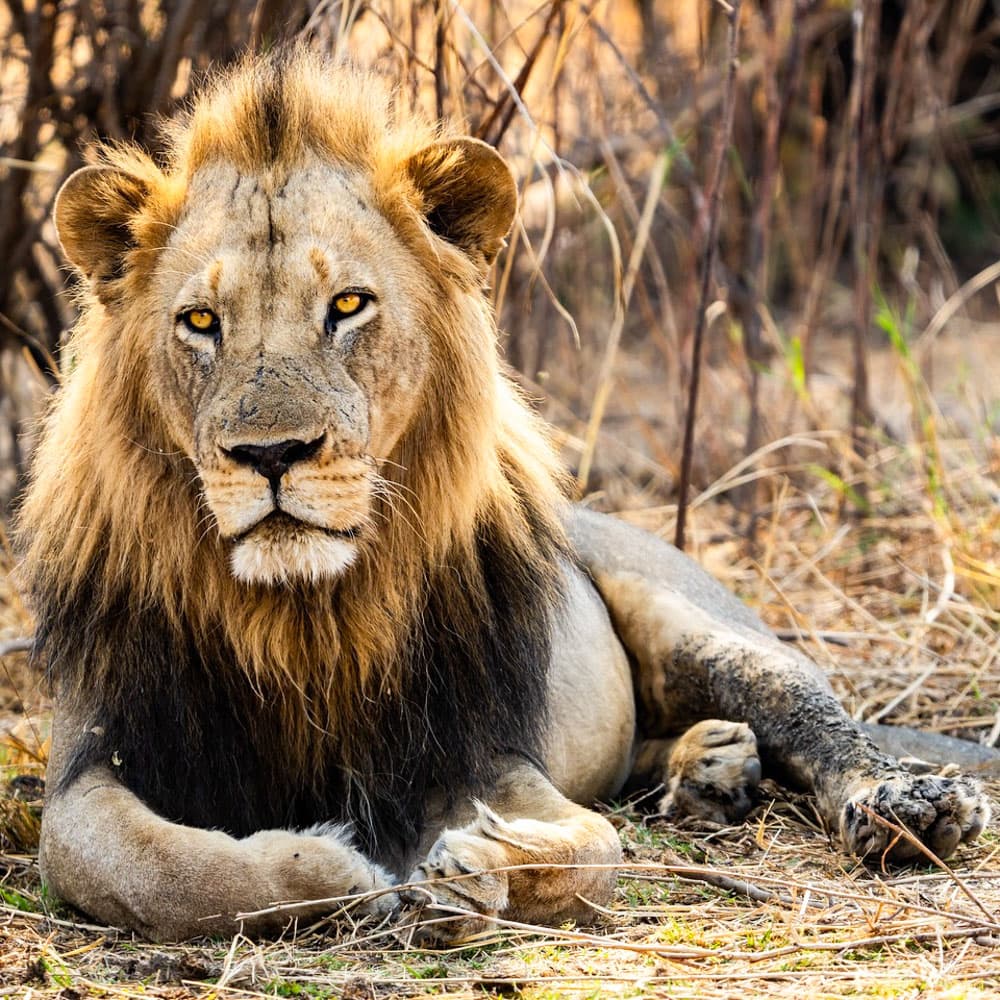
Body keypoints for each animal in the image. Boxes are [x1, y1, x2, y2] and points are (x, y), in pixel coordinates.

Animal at [18, 48, 990, 943]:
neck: (304, 618)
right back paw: (711, 768)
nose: (273, 454)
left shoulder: (483, 753)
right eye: (201, 322)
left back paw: (908, 806)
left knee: (813, 715)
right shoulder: (91, 767)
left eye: (348, 305)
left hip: (701, 626)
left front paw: (470, 868)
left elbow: (594, 846)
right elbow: (164, 871)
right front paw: (338, 866)